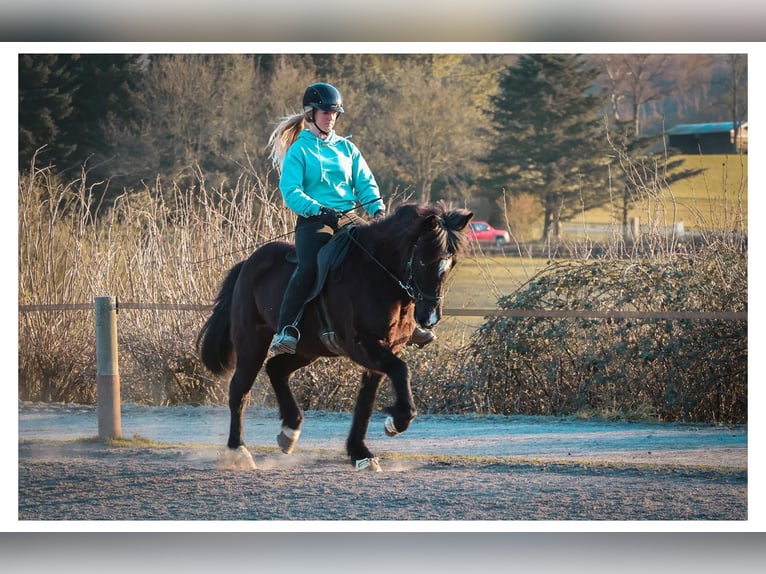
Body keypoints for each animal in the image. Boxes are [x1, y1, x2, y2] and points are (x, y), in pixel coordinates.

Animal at [197, 202, 473, 471]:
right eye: (424, 261)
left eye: (451, 264)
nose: (430, 318)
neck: (377, 275)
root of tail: (247, 264)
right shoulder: (363, 346)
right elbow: (401, 370)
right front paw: (397, 421)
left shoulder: (386, 349)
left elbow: (366, 402)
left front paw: (361, 453)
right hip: (252, 343)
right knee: (239, 390)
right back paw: (239, 451)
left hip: (308, 349)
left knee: (276, 369)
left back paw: (289, 430)